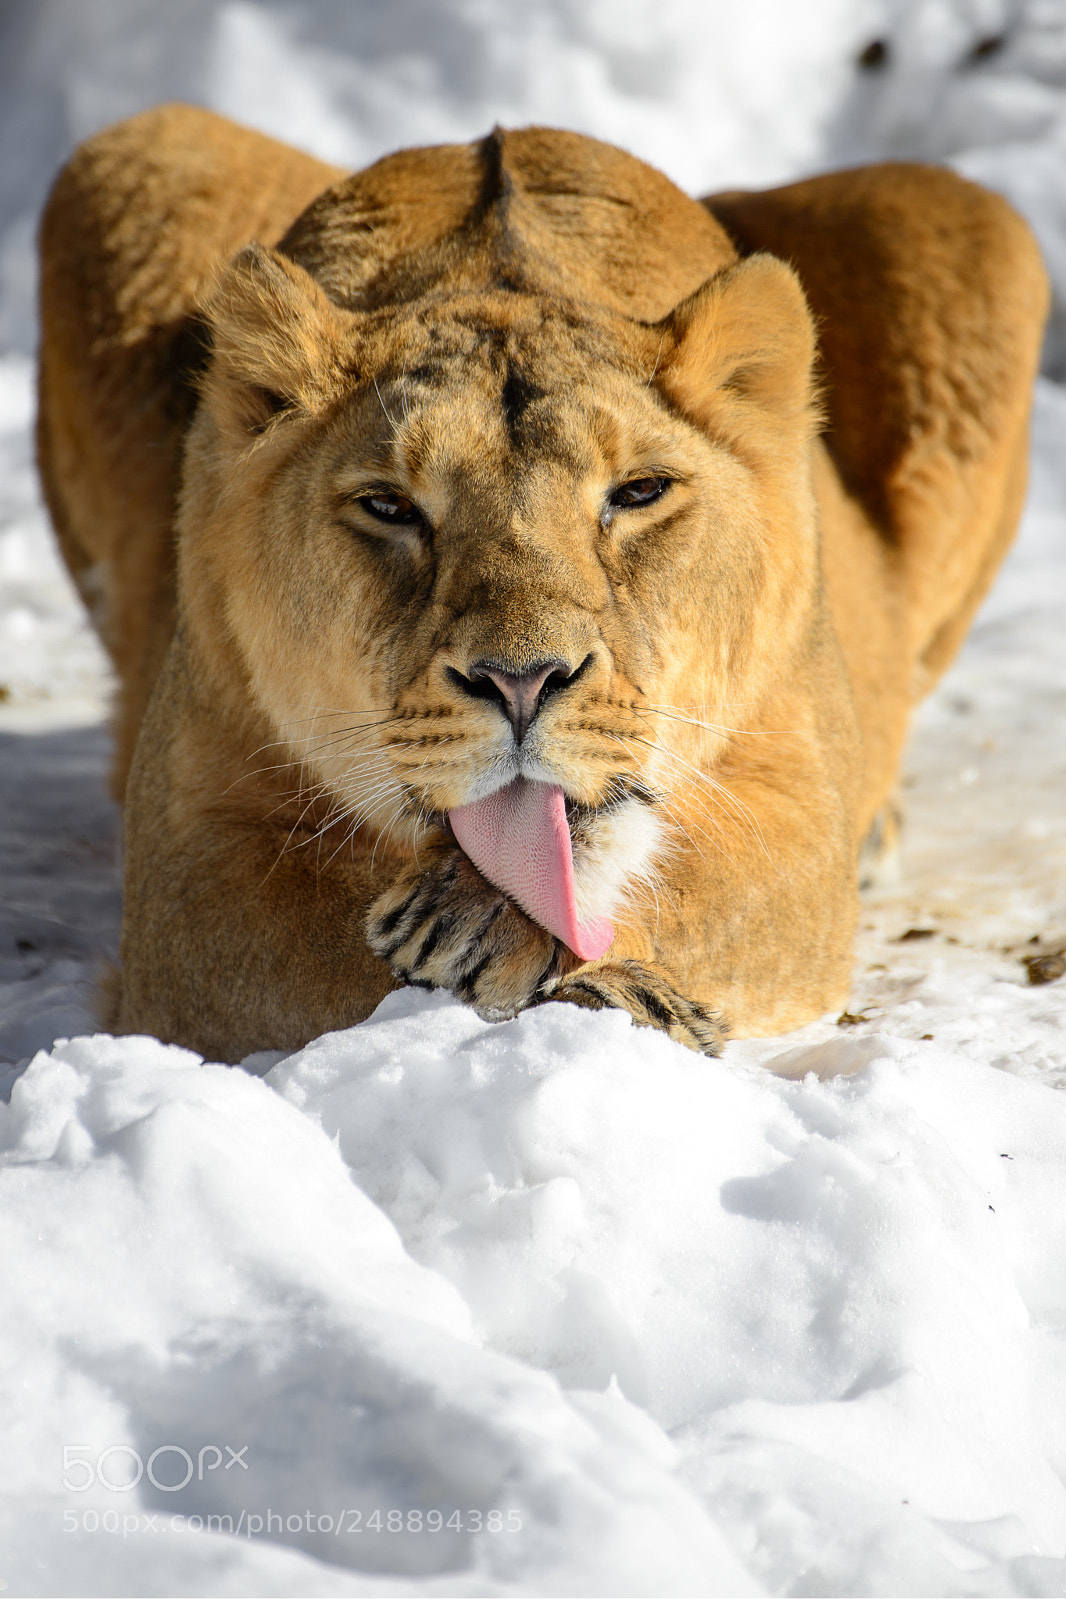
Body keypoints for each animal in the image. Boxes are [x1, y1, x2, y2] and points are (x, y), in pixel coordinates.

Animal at [36, 105, 1048, 1063]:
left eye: (638, 493)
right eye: (390, 507)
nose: (522, 682)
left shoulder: (797, 802)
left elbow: (695, 881)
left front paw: (511, 939)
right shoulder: (191, 861)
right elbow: (325, 962)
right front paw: (490, 940)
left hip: (965, 221)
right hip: (137, 152)